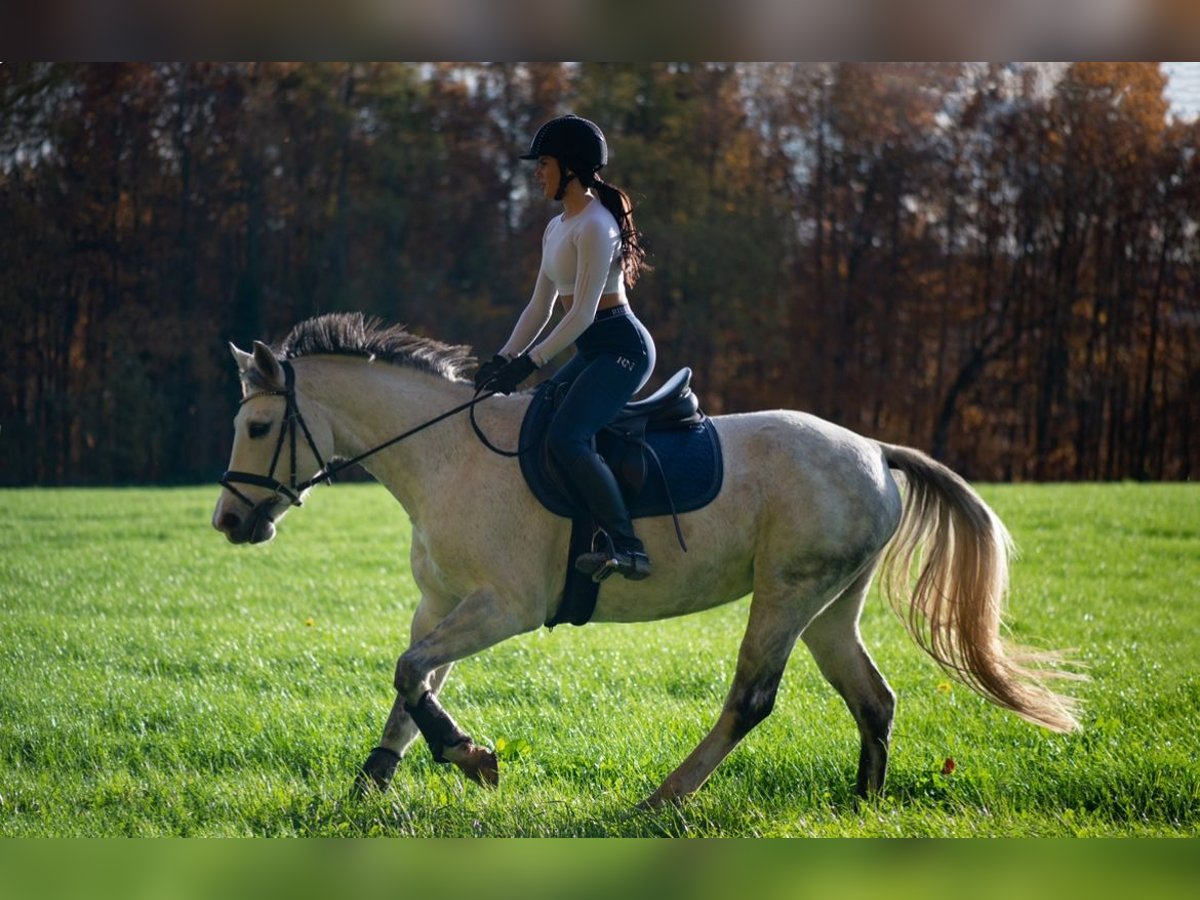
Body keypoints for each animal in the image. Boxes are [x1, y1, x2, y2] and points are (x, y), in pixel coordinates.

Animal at [211, 314, 1084, 806]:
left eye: (256, 427)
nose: (228, 522)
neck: (444, 453)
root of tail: (873, 449)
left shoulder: (503, 607)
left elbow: (409, 673)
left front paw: (471, 759)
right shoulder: (444, 603)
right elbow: (411, 682)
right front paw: (370, 786)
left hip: (786, 594)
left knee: (752, 699)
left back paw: (662, 801)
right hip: (829, 607)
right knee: (872, 699)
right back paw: (866, 807)